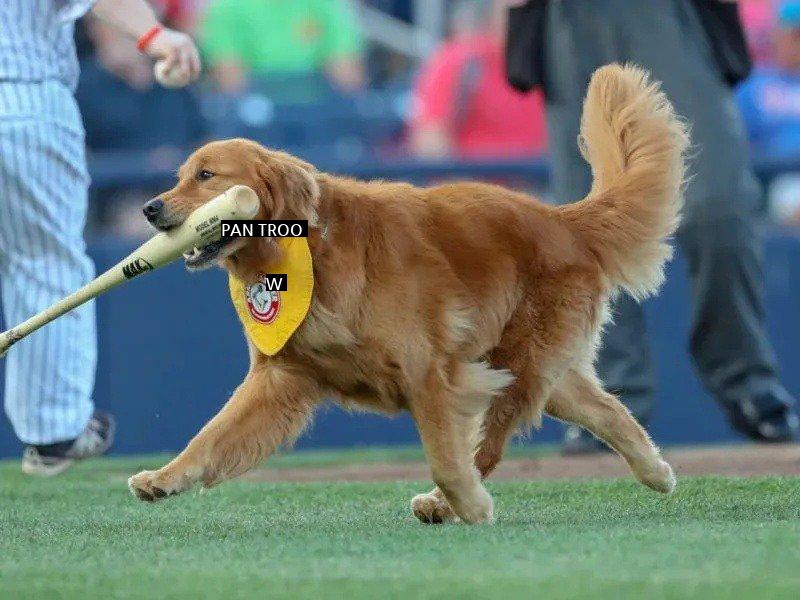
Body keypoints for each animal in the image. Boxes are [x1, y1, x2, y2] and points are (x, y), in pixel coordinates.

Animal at [130, 65, 688, 524]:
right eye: (181, 176)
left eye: (207, 176)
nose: (150, 209)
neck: (309, 249)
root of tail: (561, 219)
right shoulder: (280, 376)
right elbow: (210, 436)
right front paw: (164, 478)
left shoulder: (429, 372)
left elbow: (445, 457)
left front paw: (469, 504)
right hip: (535, 369)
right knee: (607, 410)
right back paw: (656, 470)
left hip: (518, 365)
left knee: (489, 447)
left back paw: (447, 504)